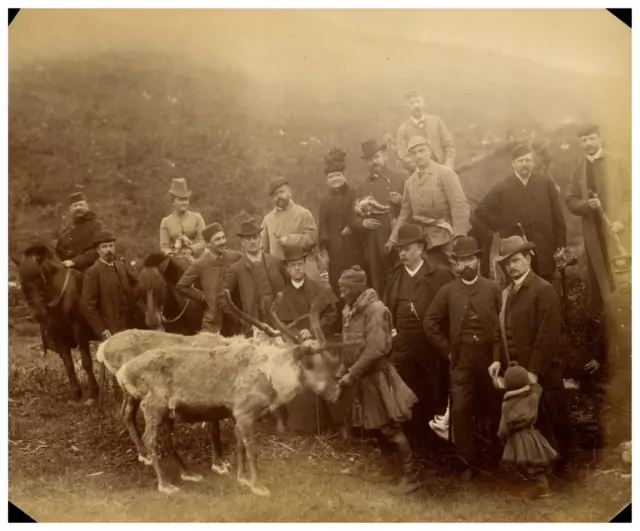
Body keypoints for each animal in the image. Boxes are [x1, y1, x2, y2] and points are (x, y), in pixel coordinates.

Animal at [16, 243, 100, 406]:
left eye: (41, 278)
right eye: (22, 283)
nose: (38, 314)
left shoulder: (79, 330)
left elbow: (86, 362)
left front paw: (92, 394)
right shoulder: (58, 334)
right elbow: (68, 364)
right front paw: (75, 394)